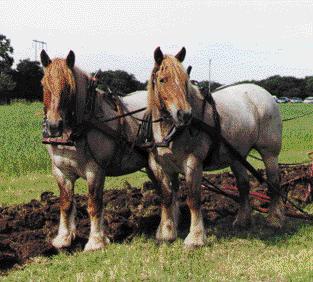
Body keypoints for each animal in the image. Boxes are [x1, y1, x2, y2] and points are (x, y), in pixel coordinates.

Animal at [147, 47, 282, 248]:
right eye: (163, 79)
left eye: (185, 80)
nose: (184, 114)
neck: (171, 129)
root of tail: (265, 94)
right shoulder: (162, 166)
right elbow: (166, 197)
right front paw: (167, 233)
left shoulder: (193, 163)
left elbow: (193, 199)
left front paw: (195, 238)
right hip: (237, 155)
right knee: (243, 185)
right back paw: (242, 220)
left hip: (269, 153)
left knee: (273, 182)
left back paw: (275, 219)